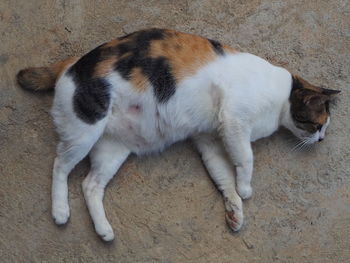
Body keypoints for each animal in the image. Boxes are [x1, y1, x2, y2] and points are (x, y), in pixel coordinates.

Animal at [16, 28, 340, 241]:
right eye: (318, 125)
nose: (322, 139)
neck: (280, 97)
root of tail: (70, 64)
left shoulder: (211, 139)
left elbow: (223, 175)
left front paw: (234, 209)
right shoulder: (234, 122)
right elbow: (245, 159)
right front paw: (246, 189)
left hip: (112, 149)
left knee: (90, 184)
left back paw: (104, 230)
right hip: (85, 130)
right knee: (59, 166)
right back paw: (60, 211)